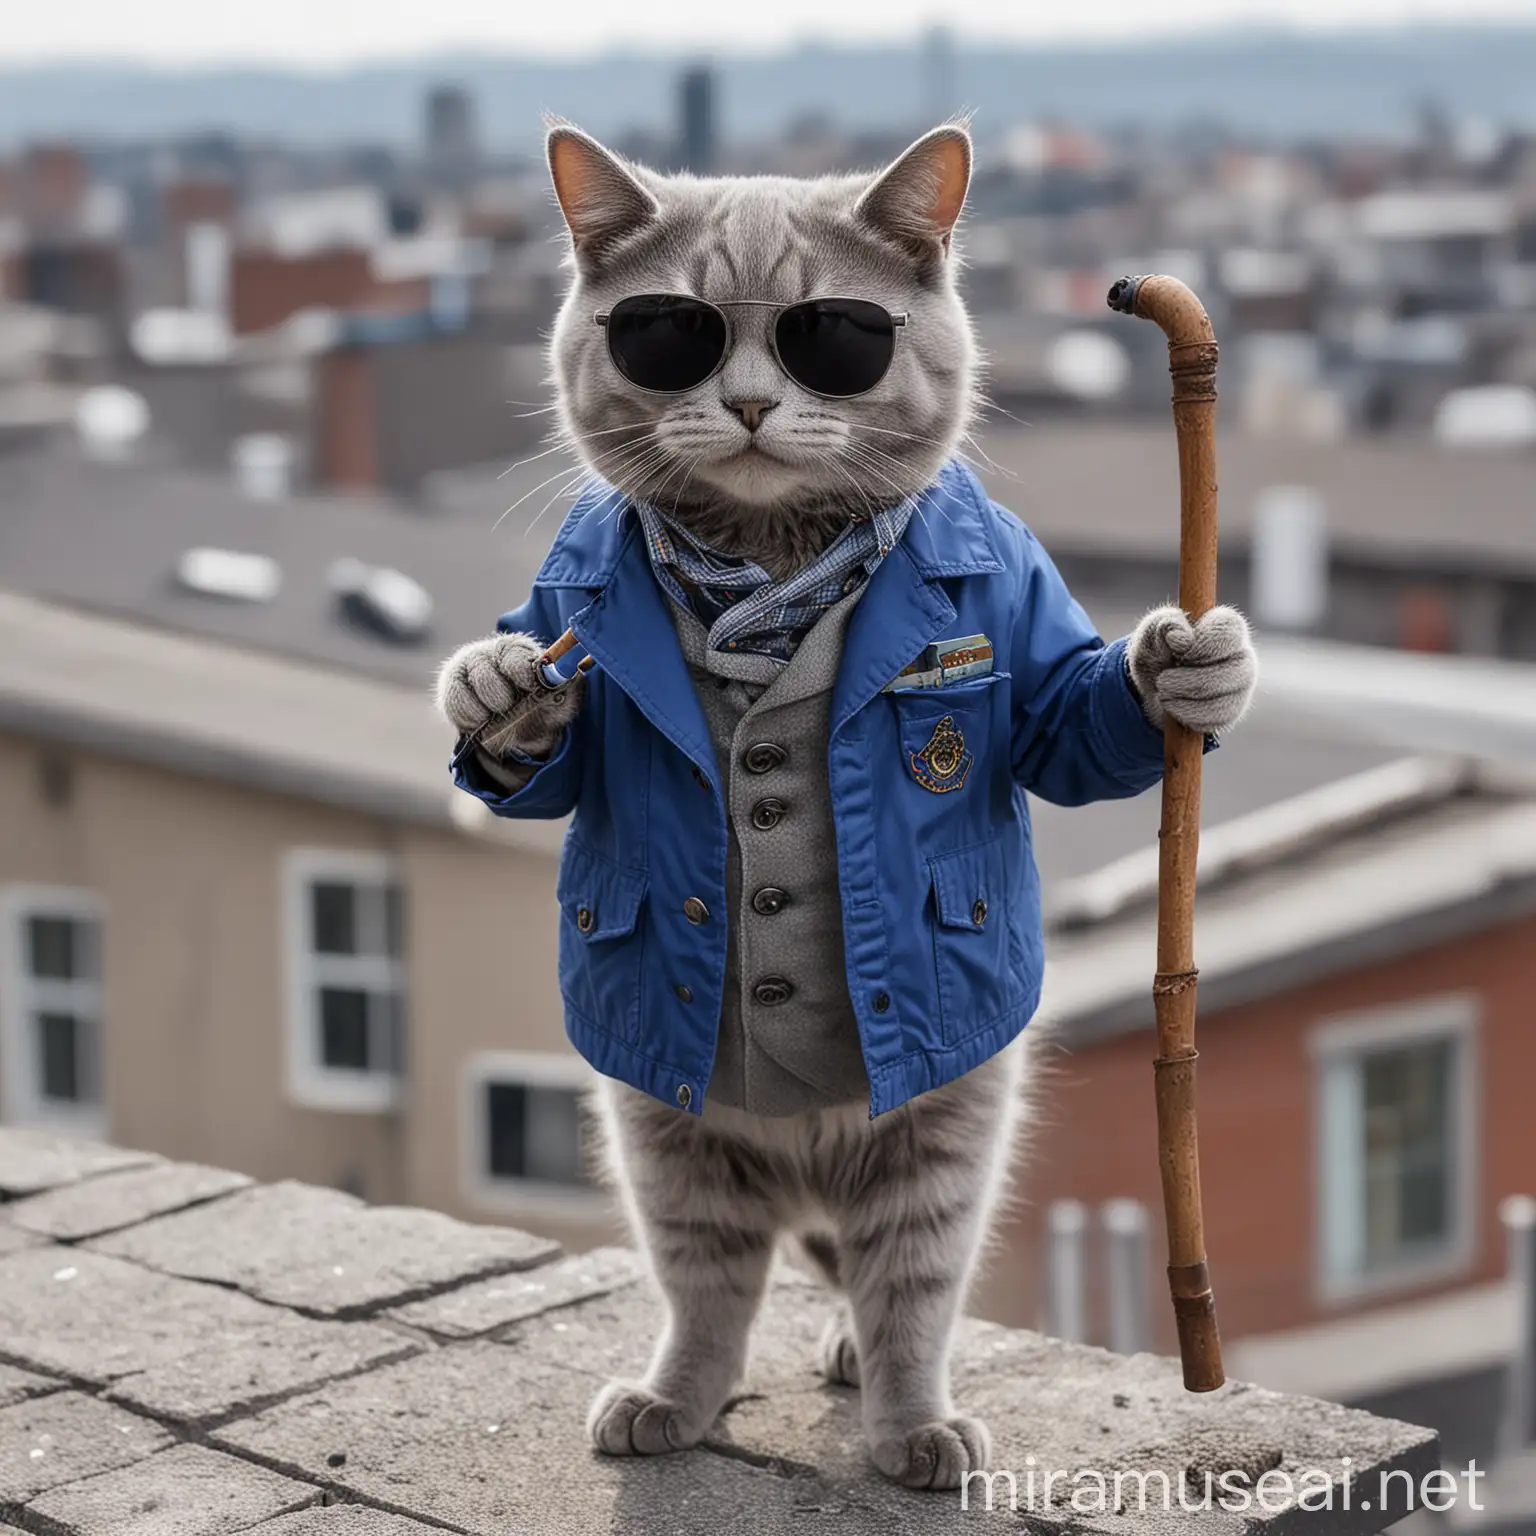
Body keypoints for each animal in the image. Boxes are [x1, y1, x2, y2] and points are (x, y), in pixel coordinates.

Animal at [436, 119, 1259, 1486]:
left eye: (834, 334)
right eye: (670, 335)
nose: (750, 399)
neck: (769, 567)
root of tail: (806, 1141)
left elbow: (1066, 717)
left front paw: (1179, 675)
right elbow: (709, 1295)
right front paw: (502, 694)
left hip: (936, 1124)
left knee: (900, 1279)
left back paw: (888, 1392)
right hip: (672, 1131)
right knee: (719, 1281)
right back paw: (696, 1388)